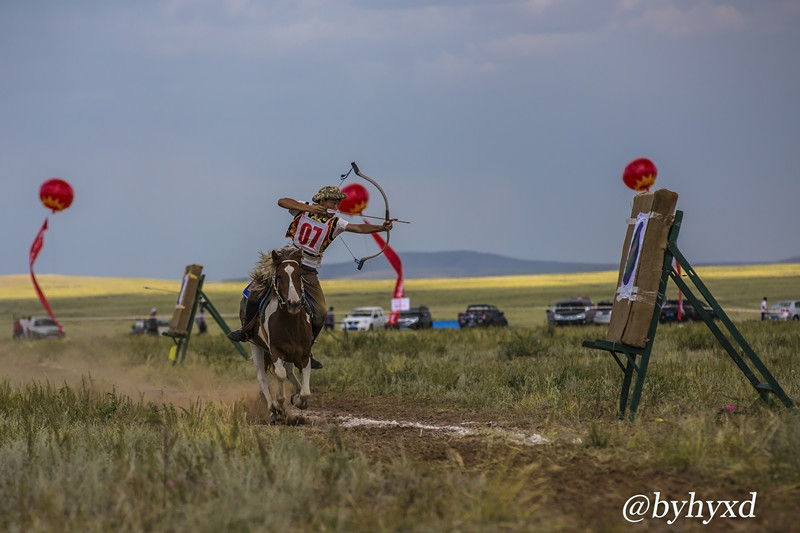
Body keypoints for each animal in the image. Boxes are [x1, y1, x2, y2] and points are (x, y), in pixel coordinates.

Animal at [238, 247, 312, 422]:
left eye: (300, 274)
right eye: (279, 276)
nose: (293, 303)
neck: (291, 326)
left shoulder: (305, 354)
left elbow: (305, 392)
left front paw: (298, 399)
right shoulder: (275, 351)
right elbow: (280, 374)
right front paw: (278, 405)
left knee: (290, 372)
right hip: (256, 346)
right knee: (262, 379)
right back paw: (273, 411)